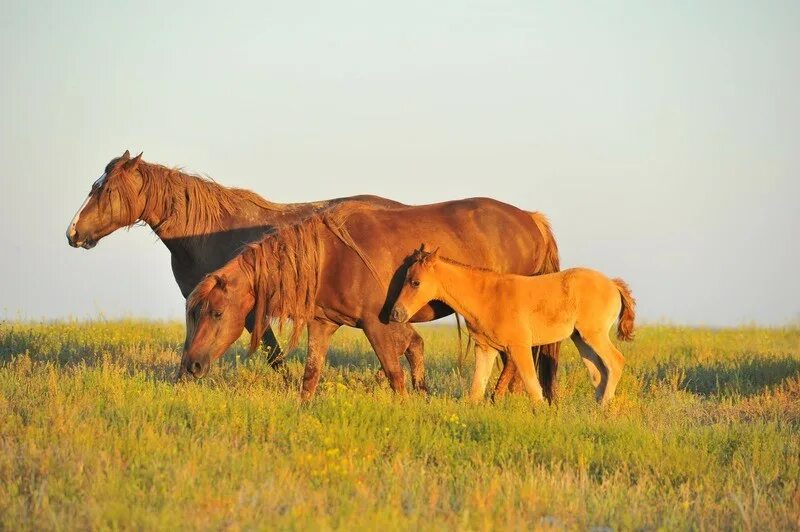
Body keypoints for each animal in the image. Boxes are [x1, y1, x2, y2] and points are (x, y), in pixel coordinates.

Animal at [179, 202, 560, 402]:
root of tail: (531, 219)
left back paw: (499, 397)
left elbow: (394, 373)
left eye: (217, 312)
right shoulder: (323, 324)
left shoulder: (377, 325)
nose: (191, 366)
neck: (330, 257)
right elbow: (311, 375)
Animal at [390, 247, 636, 406]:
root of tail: (612, 283)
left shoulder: (519, 347)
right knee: (598, 372)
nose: (396, 313)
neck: (486, 296)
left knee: (615, 362)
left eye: (415, 282)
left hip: (594, 334)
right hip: (580, 338)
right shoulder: (485, 349)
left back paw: (605, 406)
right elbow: (476, 390)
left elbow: (533, 388)